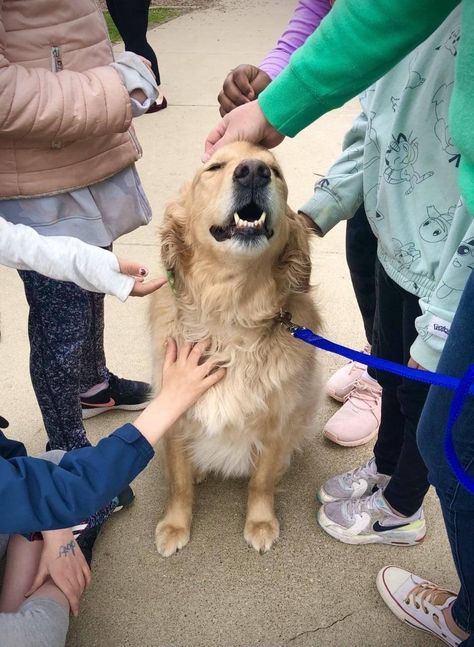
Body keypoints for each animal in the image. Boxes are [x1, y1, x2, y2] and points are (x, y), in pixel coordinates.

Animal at [151, 142, 322, 556]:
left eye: (276, 172)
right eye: (214, 167)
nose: (253, 172)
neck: (230, 313)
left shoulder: (279, 419)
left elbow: (261, 481)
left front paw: (260, 522)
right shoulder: (175, 413)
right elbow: (178, 482)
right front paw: (175, 524)